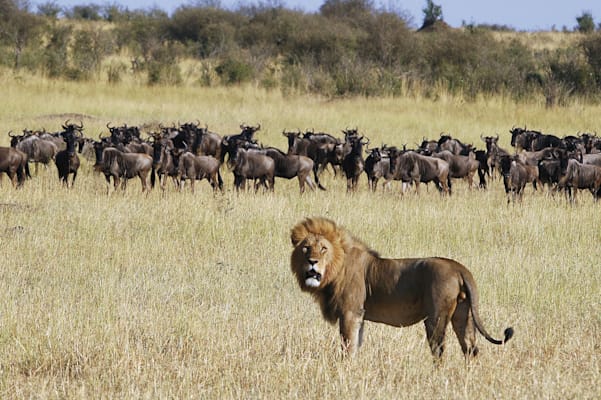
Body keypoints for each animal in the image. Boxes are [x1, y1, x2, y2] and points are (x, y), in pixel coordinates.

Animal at [288, 217, 512, 358]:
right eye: (306, 248)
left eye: (323, 249)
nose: (312, 262)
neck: (336, 268)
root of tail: (458, 267)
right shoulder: (359, 315)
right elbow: (356, 344)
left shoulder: (350, 312)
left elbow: (348, 347)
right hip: (463, 315)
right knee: (470, 349)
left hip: (436, 317)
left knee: (439, 351)